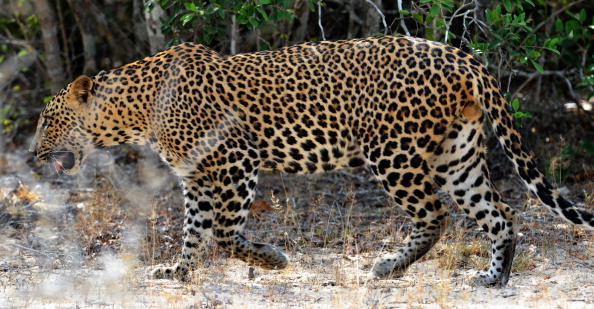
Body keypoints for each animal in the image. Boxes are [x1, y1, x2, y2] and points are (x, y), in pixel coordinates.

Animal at [30, 35, 588, 286]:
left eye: (47, 121)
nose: (33, 156)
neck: (135, 110)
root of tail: (462, 54)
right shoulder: (197, 177)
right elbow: (193, 228)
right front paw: (178, 271)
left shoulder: (234, 160)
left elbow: (224, 233)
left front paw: (272, 259)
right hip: (458, 155)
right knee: (501, 213)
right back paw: (494, 277)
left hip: (393, 152)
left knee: (435, 215)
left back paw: (388, 266)